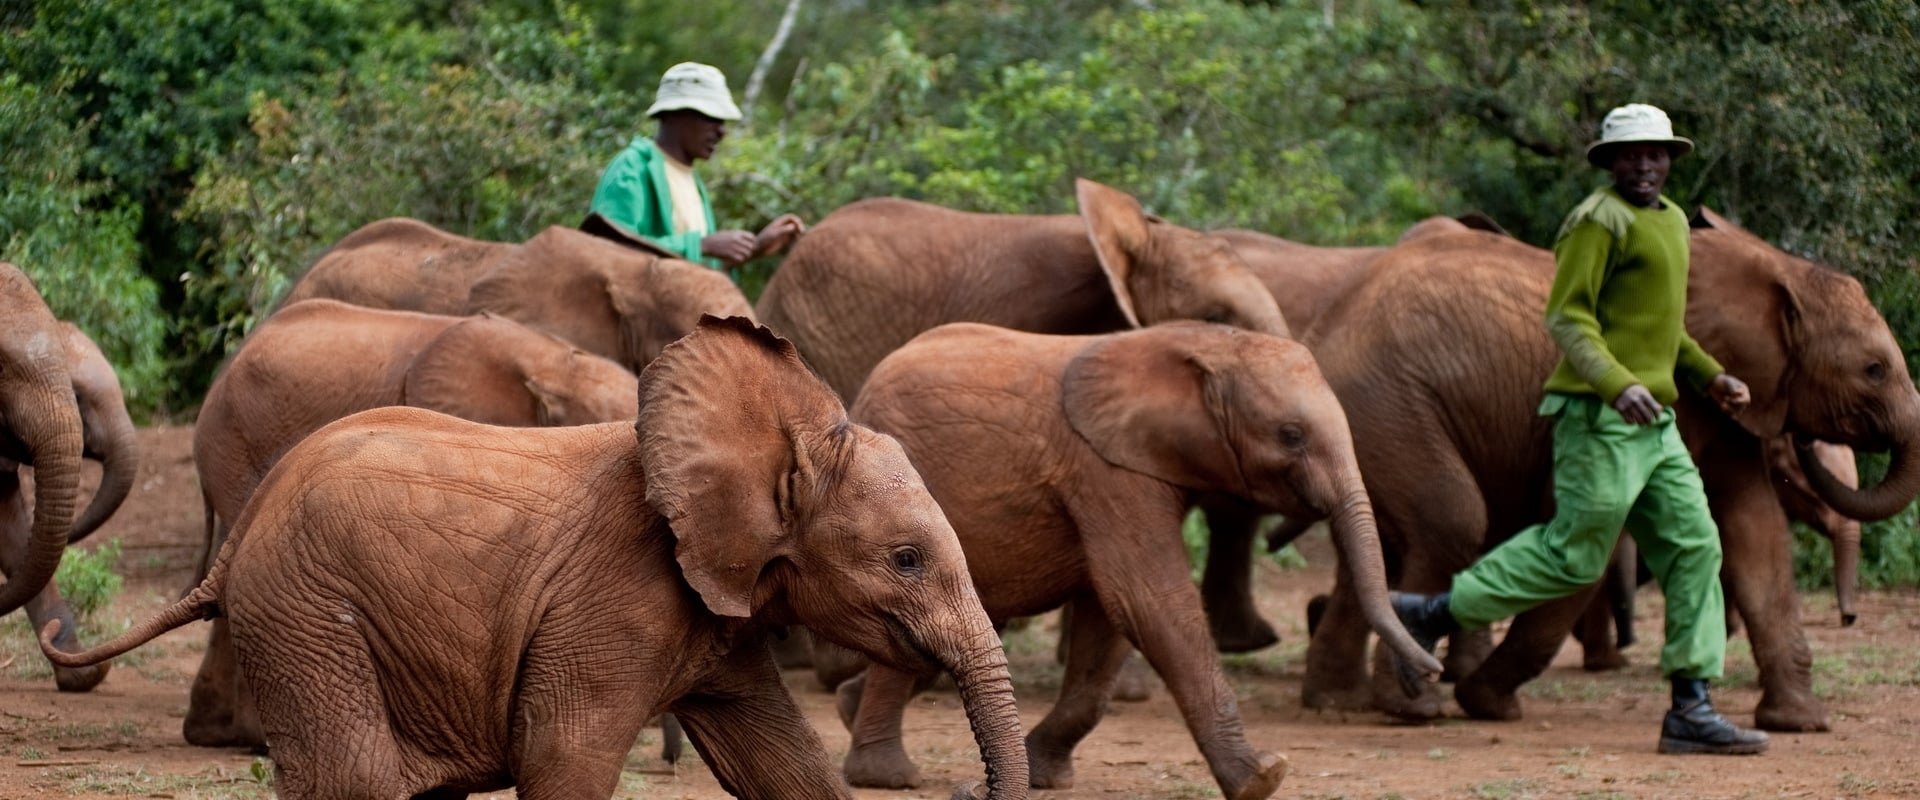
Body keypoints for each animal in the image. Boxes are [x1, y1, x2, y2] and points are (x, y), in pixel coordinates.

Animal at [48, 318, 1036, 798]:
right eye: (906, 560)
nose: (962, 790)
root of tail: (245, 531)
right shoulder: (615, 602)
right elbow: (565, 761)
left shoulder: (718, 620)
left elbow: (785, 767)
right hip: (305, 612)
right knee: (355, 783)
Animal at [840, 320, 1443, 798]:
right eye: (1290, 435)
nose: (1429, 672)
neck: (1202, 343)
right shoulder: (1108, 470)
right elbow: (1147, 600)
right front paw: (1262, 777)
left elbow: (1108, 620)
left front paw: (1045, 776)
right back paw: (887, 777)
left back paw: (849, 710)